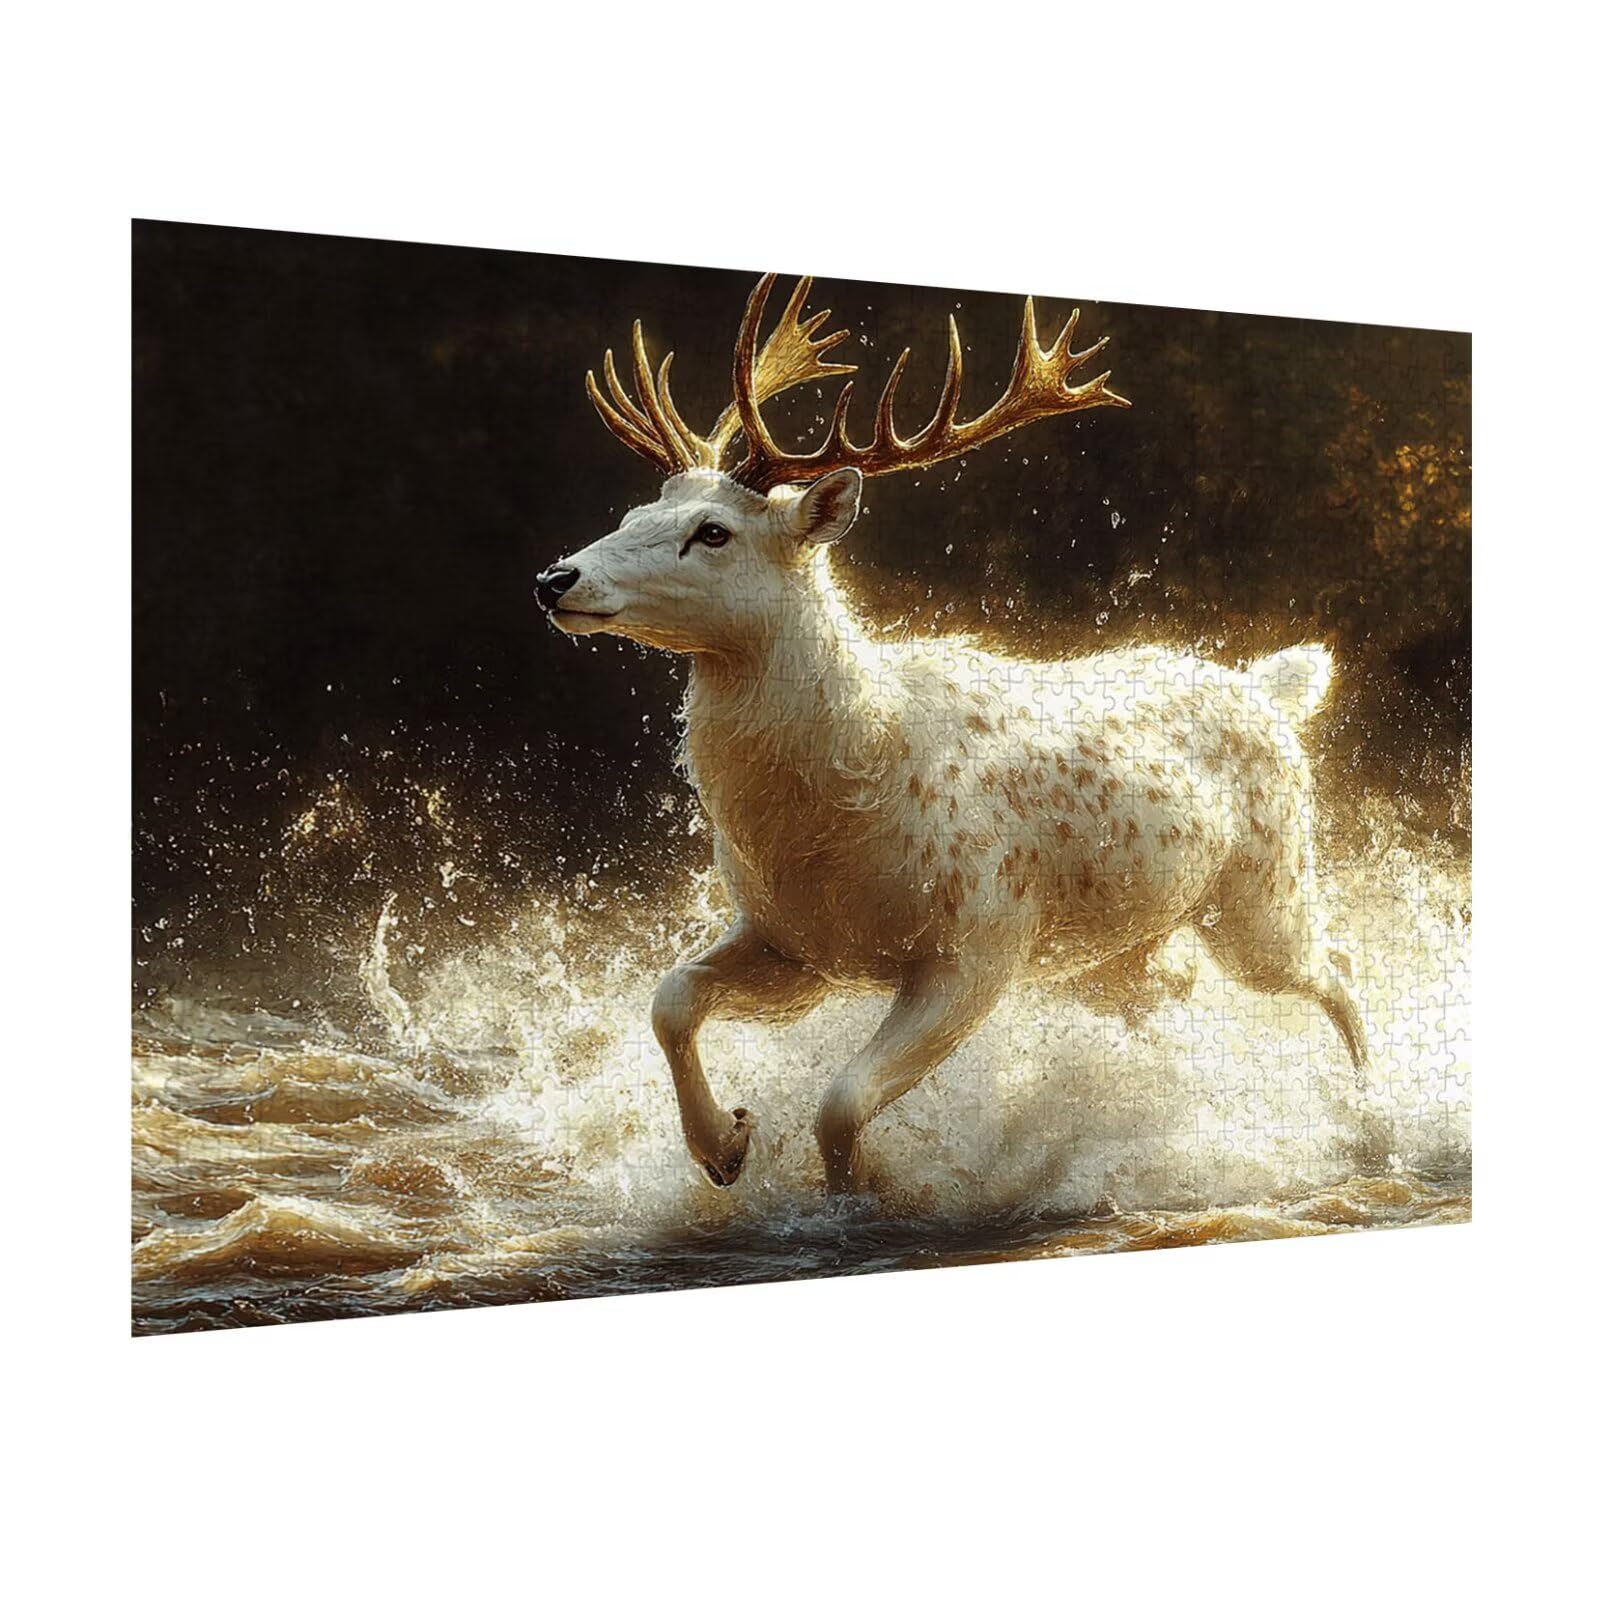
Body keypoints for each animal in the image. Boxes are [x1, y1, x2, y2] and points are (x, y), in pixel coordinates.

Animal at [535, 274, 1371, 1196]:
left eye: (713, 531)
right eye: (634, 509)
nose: (555, 577)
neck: (834, 811)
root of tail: (1269, 688)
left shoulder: (981, 942)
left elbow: (840, 1104)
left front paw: (860, 1198)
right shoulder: (796, 945)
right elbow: (670, 1000)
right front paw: (726, 1146)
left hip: (1265, 890)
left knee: (1338, 968)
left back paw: (1375, 1115)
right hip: (1122, 949)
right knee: (1177, 991)